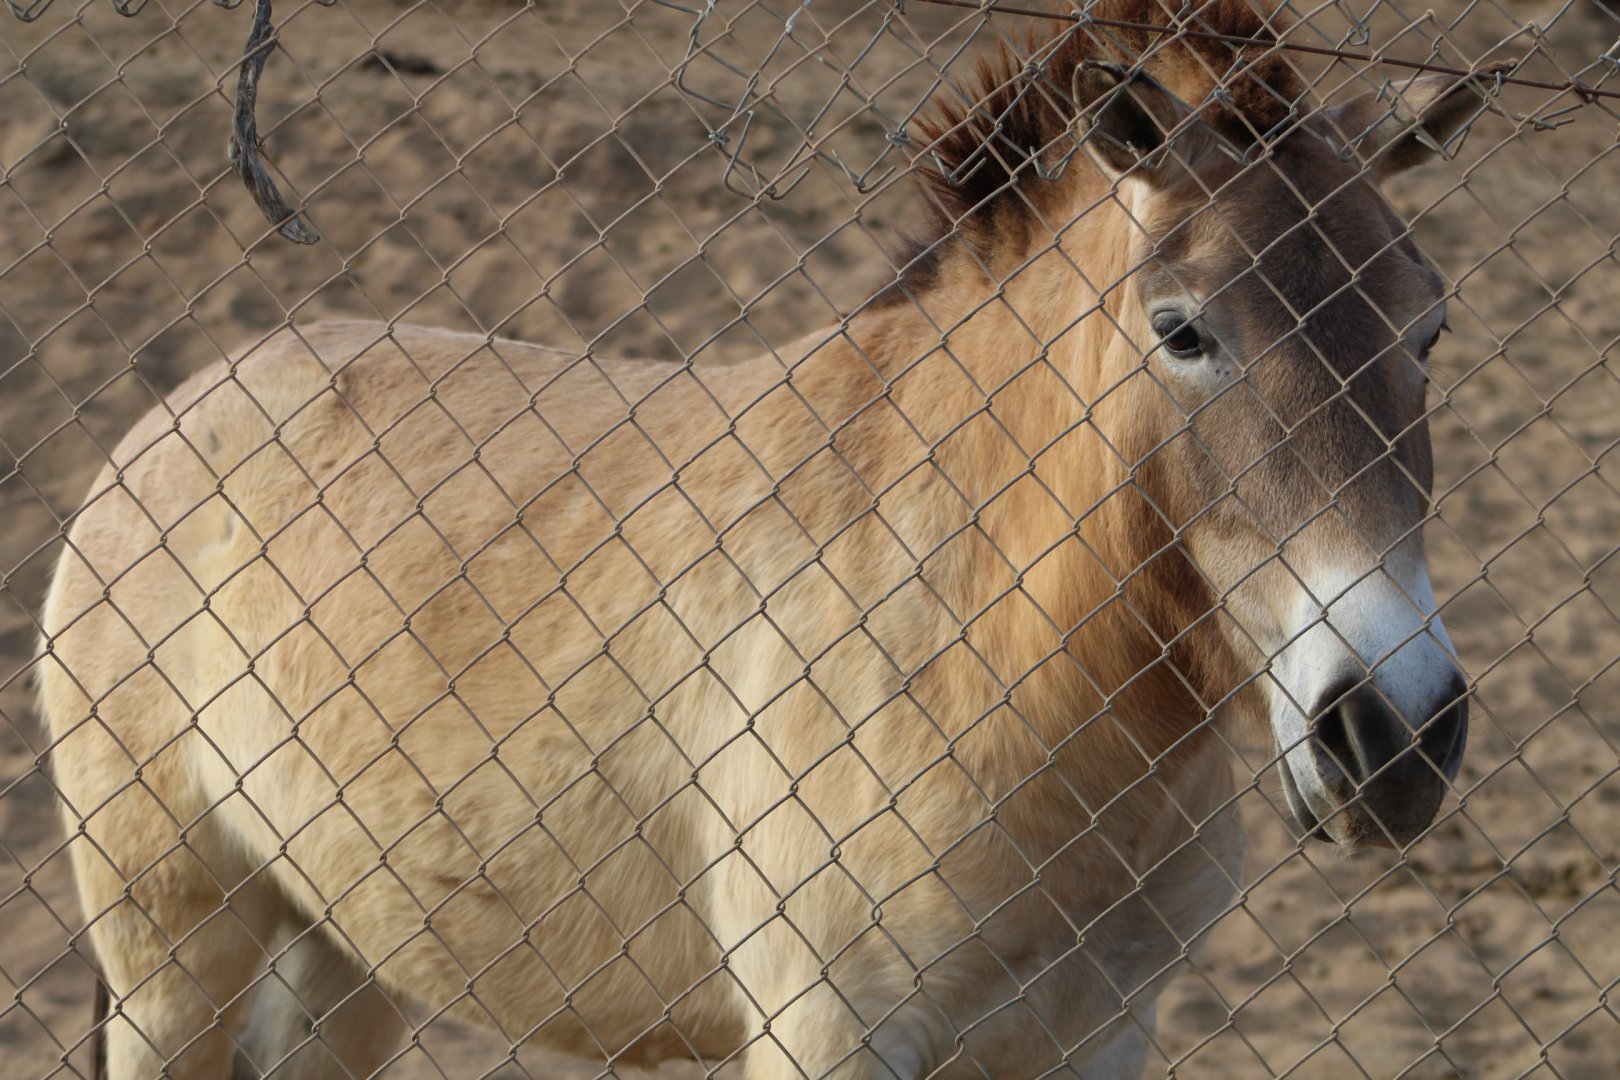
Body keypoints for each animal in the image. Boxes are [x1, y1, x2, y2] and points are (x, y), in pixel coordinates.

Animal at [38, 2, 1493, 1076]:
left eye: (1428, 330)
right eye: (1184, 330)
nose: (1393, 736)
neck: (980, 652)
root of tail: (167, 423)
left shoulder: (1095, 1041)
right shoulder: (828, 1034)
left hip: (342, 953)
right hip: (175, 964)